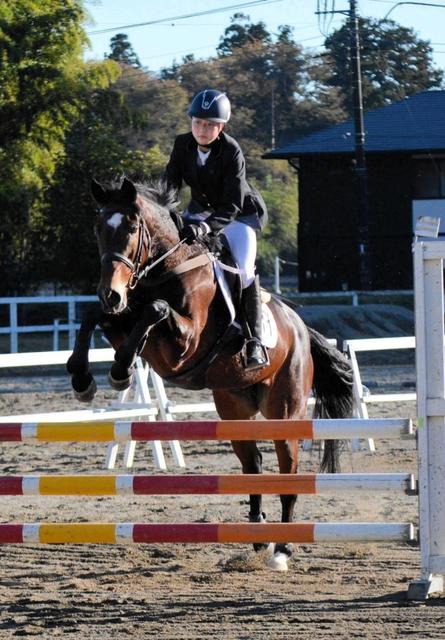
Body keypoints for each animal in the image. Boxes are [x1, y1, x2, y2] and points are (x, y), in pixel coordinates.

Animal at [66, 176, 352, 568]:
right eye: (98, 228)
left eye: (131, 228)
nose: (110, 294)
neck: (166, 269)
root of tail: (300, 328)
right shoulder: (123, 320)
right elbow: (93, 316)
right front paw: (83, 379)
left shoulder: (183, 346)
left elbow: (155, 310)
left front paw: (119, 370)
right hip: (234, 408)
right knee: (253, 465)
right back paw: (258, 534)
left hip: (285, 410)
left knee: (288, 471)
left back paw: (281, 549)